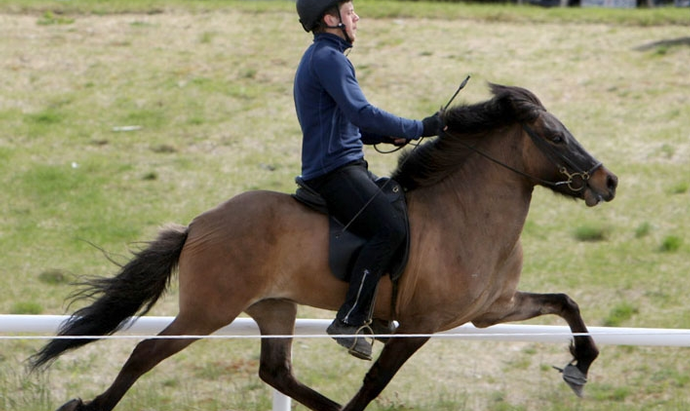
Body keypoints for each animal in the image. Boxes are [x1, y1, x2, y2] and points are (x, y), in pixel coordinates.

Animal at [30, 84, 620, 411]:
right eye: (554, 135)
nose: (607, 181)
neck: (467, 213)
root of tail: (199, 224)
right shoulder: (421, 326)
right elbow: (376, 380)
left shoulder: (491, 310)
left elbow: (566, 303)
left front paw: (581, 365)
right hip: (209, 310)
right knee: (144, 354)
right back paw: (86, 406)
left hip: (274, 307)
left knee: (276, 372)